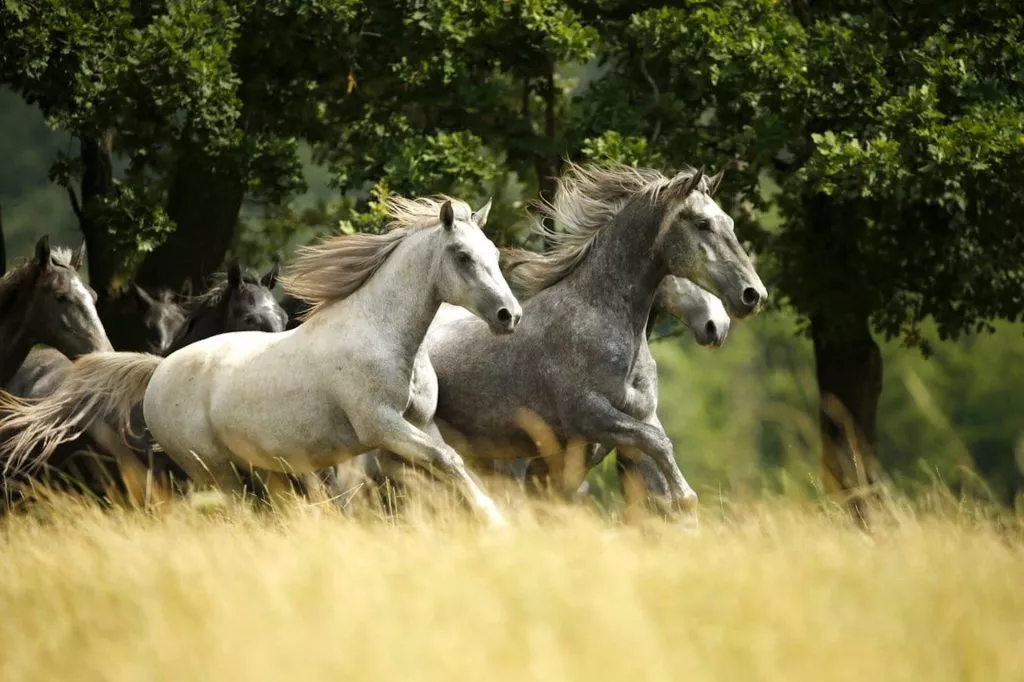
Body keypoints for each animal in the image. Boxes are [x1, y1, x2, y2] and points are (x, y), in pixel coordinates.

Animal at [360, 163, 766, 518]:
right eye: (703, 224)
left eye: (730, 223)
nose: (752, 296)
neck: (599, 317)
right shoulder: (589, 415)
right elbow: (659, 450)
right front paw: (683, 497)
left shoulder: (637, 419)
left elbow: (656, 469)